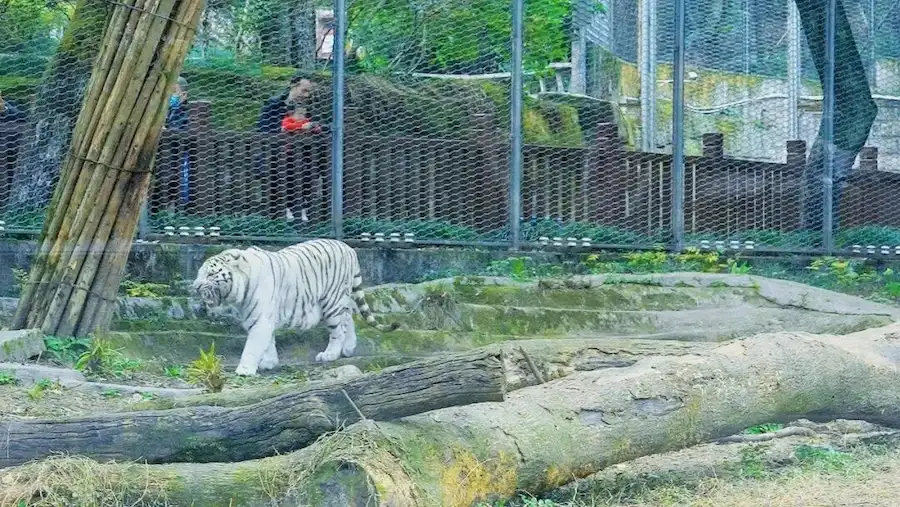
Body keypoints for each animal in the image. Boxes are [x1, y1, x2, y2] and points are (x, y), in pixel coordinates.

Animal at [191, 238, 399, 376]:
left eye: (210, 275)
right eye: (200, 273)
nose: (196, 286)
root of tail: (349, 248)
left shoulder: (260, 319)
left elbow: (253, 345)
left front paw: (245, 369)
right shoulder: (262, 319)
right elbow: (268, 342)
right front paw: (269, 362)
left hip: (331, 302)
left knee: (338, 330)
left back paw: (331, 354)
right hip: (339, 301)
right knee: (348, 318)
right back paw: (348, 349)